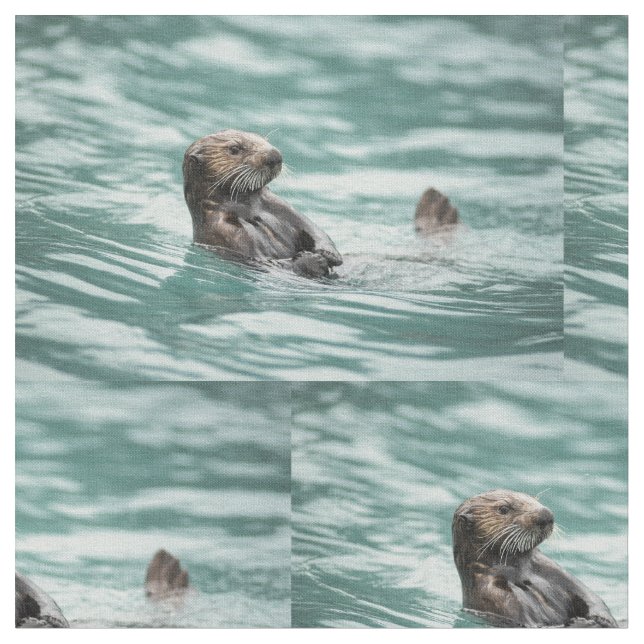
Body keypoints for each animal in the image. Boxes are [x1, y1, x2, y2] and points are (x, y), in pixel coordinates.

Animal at [183, 129, 342, 278]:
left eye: (264, 139)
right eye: (234, 149)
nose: (274, 155)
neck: (248, 210)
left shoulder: (280, 206)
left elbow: (312, 228)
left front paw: (328, 253)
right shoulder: (226, 232)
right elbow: (266, 261)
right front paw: (314, 260)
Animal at [452, 490, 617, 628]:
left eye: (534, 499)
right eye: (503, 509)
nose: (546, 514)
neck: (520, 574)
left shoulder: (555, 571)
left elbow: (591, 598)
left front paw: (601, 618)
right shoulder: (498, 597)